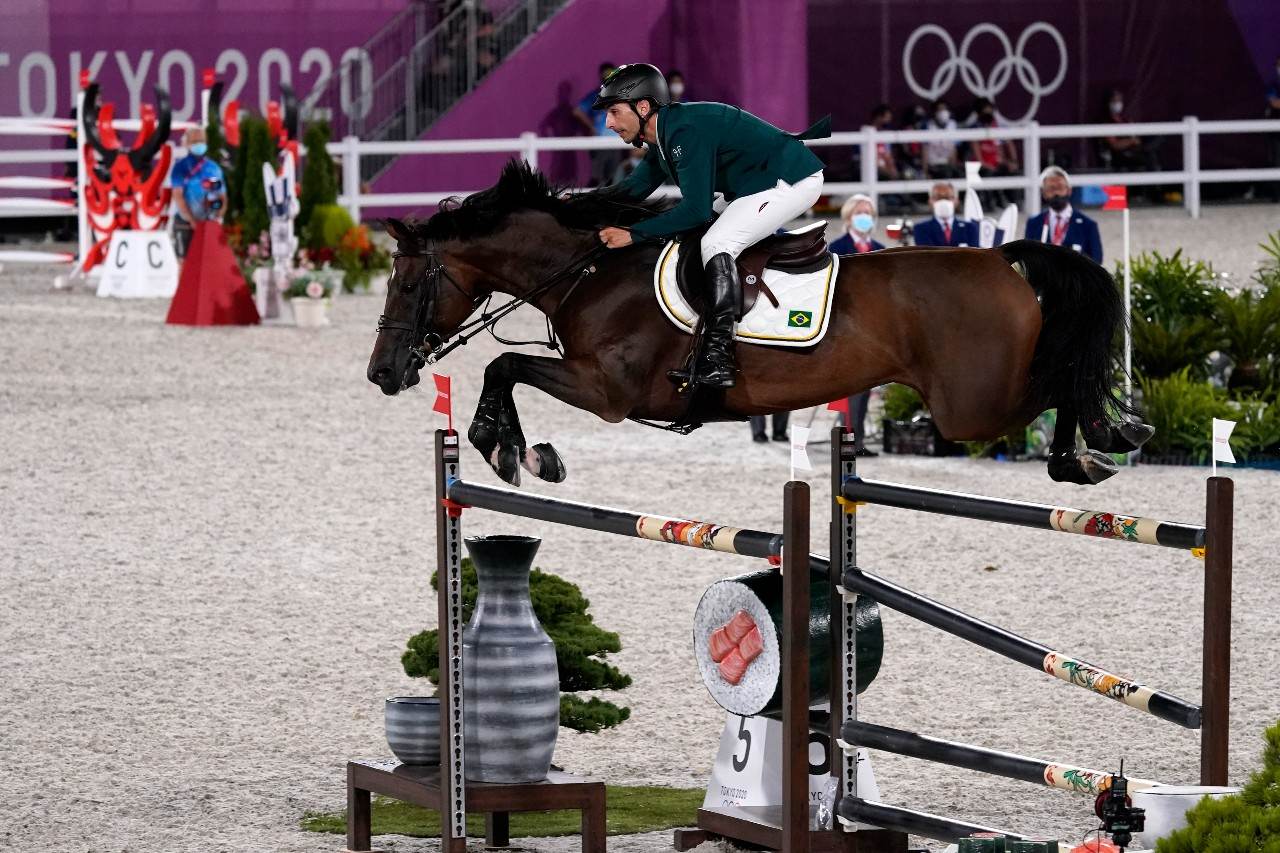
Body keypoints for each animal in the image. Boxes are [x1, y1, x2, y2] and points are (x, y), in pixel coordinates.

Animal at [368, 161, 1152, 484]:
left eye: (406, 282)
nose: (381, 373)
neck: (591, 270)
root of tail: (1000, 255)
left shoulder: (607, 391)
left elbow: (505, 366)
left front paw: (511, 452)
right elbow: (505, 370)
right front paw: (518, 451)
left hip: (972, 405)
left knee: (1057, 385)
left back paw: (1098, 445)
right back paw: (1105, 442)